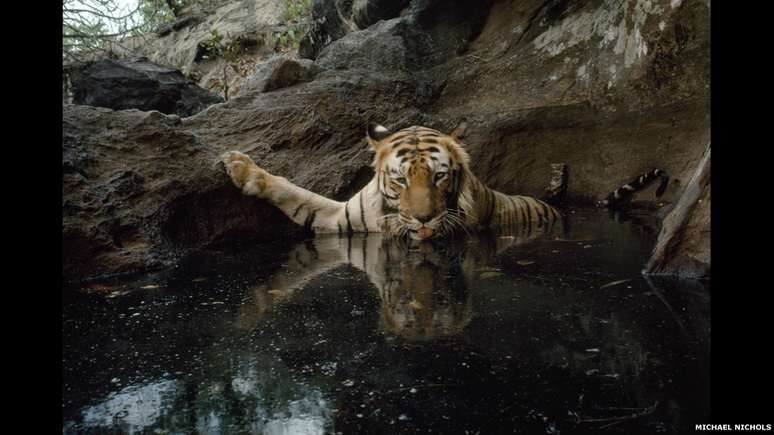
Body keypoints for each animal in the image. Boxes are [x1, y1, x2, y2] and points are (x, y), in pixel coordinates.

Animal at [221, 122, 560, 242]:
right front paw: (240, 167)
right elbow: (297, 194)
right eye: (400, 180)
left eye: (439, 176)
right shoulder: (338, 218)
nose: (424, 218)